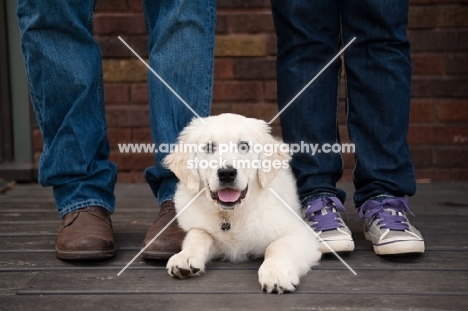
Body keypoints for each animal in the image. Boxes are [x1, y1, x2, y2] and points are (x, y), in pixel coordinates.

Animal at [163, 114, 320, 294]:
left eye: (244, 146)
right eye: (209, 147)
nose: (226, 173)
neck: (231, 214)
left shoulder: (301, 233)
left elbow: (278, 246)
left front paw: (276, 272)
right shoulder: (202, 228)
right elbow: (198, 234)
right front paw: (185, 256)